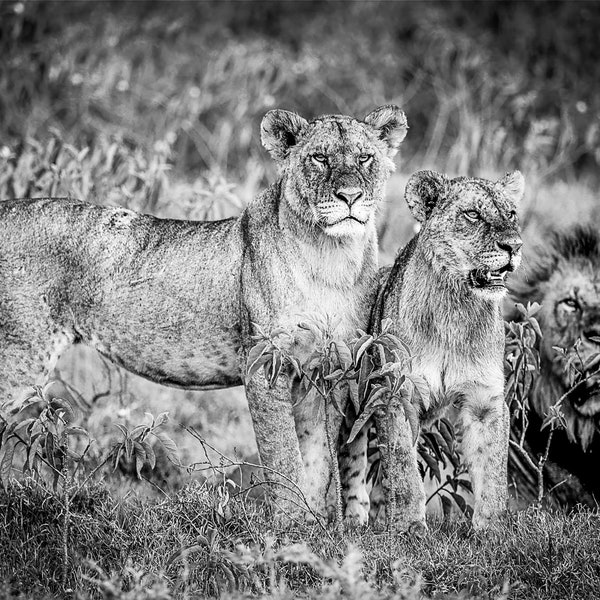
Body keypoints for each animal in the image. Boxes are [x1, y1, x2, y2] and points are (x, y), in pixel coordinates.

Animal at [0, 106, 408, 520]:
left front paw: (313, 527)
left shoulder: (325, 370)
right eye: (320, 158)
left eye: (365, 158)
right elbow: (284, 457)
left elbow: (316, 463)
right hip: (19, 356)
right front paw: (291, 524)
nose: (350, 196)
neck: (332, 259)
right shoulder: (264, 364)